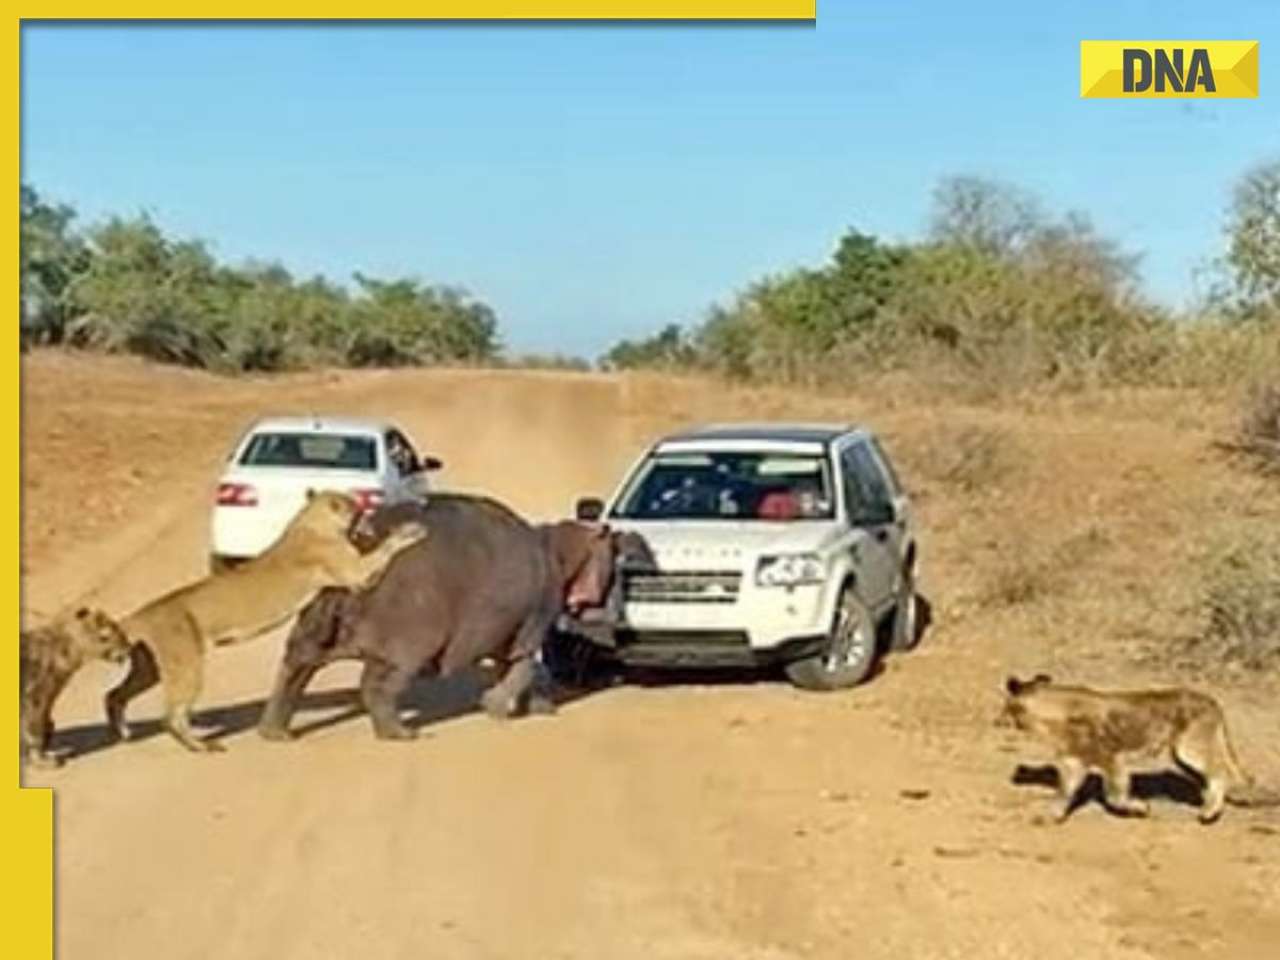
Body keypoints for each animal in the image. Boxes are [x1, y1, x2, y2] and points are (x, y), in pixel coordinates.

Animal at [20, 609, 131, 768]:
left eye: (120, 630)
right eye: (106, 636)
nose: (129, 647)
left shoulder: (48, 697)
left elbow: (45, 722)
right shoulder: (32, 698)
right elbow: (33, 729)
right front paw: (42, 761)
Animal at [104, 491, 424, 757]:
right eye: (356, 507)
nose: (368, 515)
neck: (310, 521)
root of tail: (144, 612)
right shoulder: (355, 575)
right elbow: (383, 550)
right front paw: (410, 532)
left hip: (150, 667)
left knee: (114, 694)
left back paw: (123, 732)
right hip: (186, 663)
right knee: (171, 715)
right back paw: (201, 746)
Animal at [257, 496, 640, 742]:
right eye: (615, 548)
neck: (562, 551)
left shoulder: (506, 633)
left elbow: (519, 671)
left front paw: (537, 710)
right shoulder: (531, 626)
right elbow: (526, 668)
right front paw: (494, 707)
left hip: (313, 628)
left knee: (293, 671)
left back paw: (275, 733)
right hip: (409, 645)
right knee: (375, 686)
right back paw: (403, 734)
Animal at [998, 675, 1280, 829]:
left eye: (1004, 706)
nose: (996, 719)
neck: (1050, 716)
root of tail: (1213, 701)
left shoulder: (1112, 758)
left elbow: (1114, 795)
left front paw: (1141, 808)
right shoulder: (1073, 763)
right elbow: (1064, 793)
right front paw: (1049, 817)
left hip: (1188, 748)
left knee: (1219, 771)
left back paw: (1208, 813)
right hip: (1180, 756)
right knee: (1208, 777)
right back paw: (1207, 803)